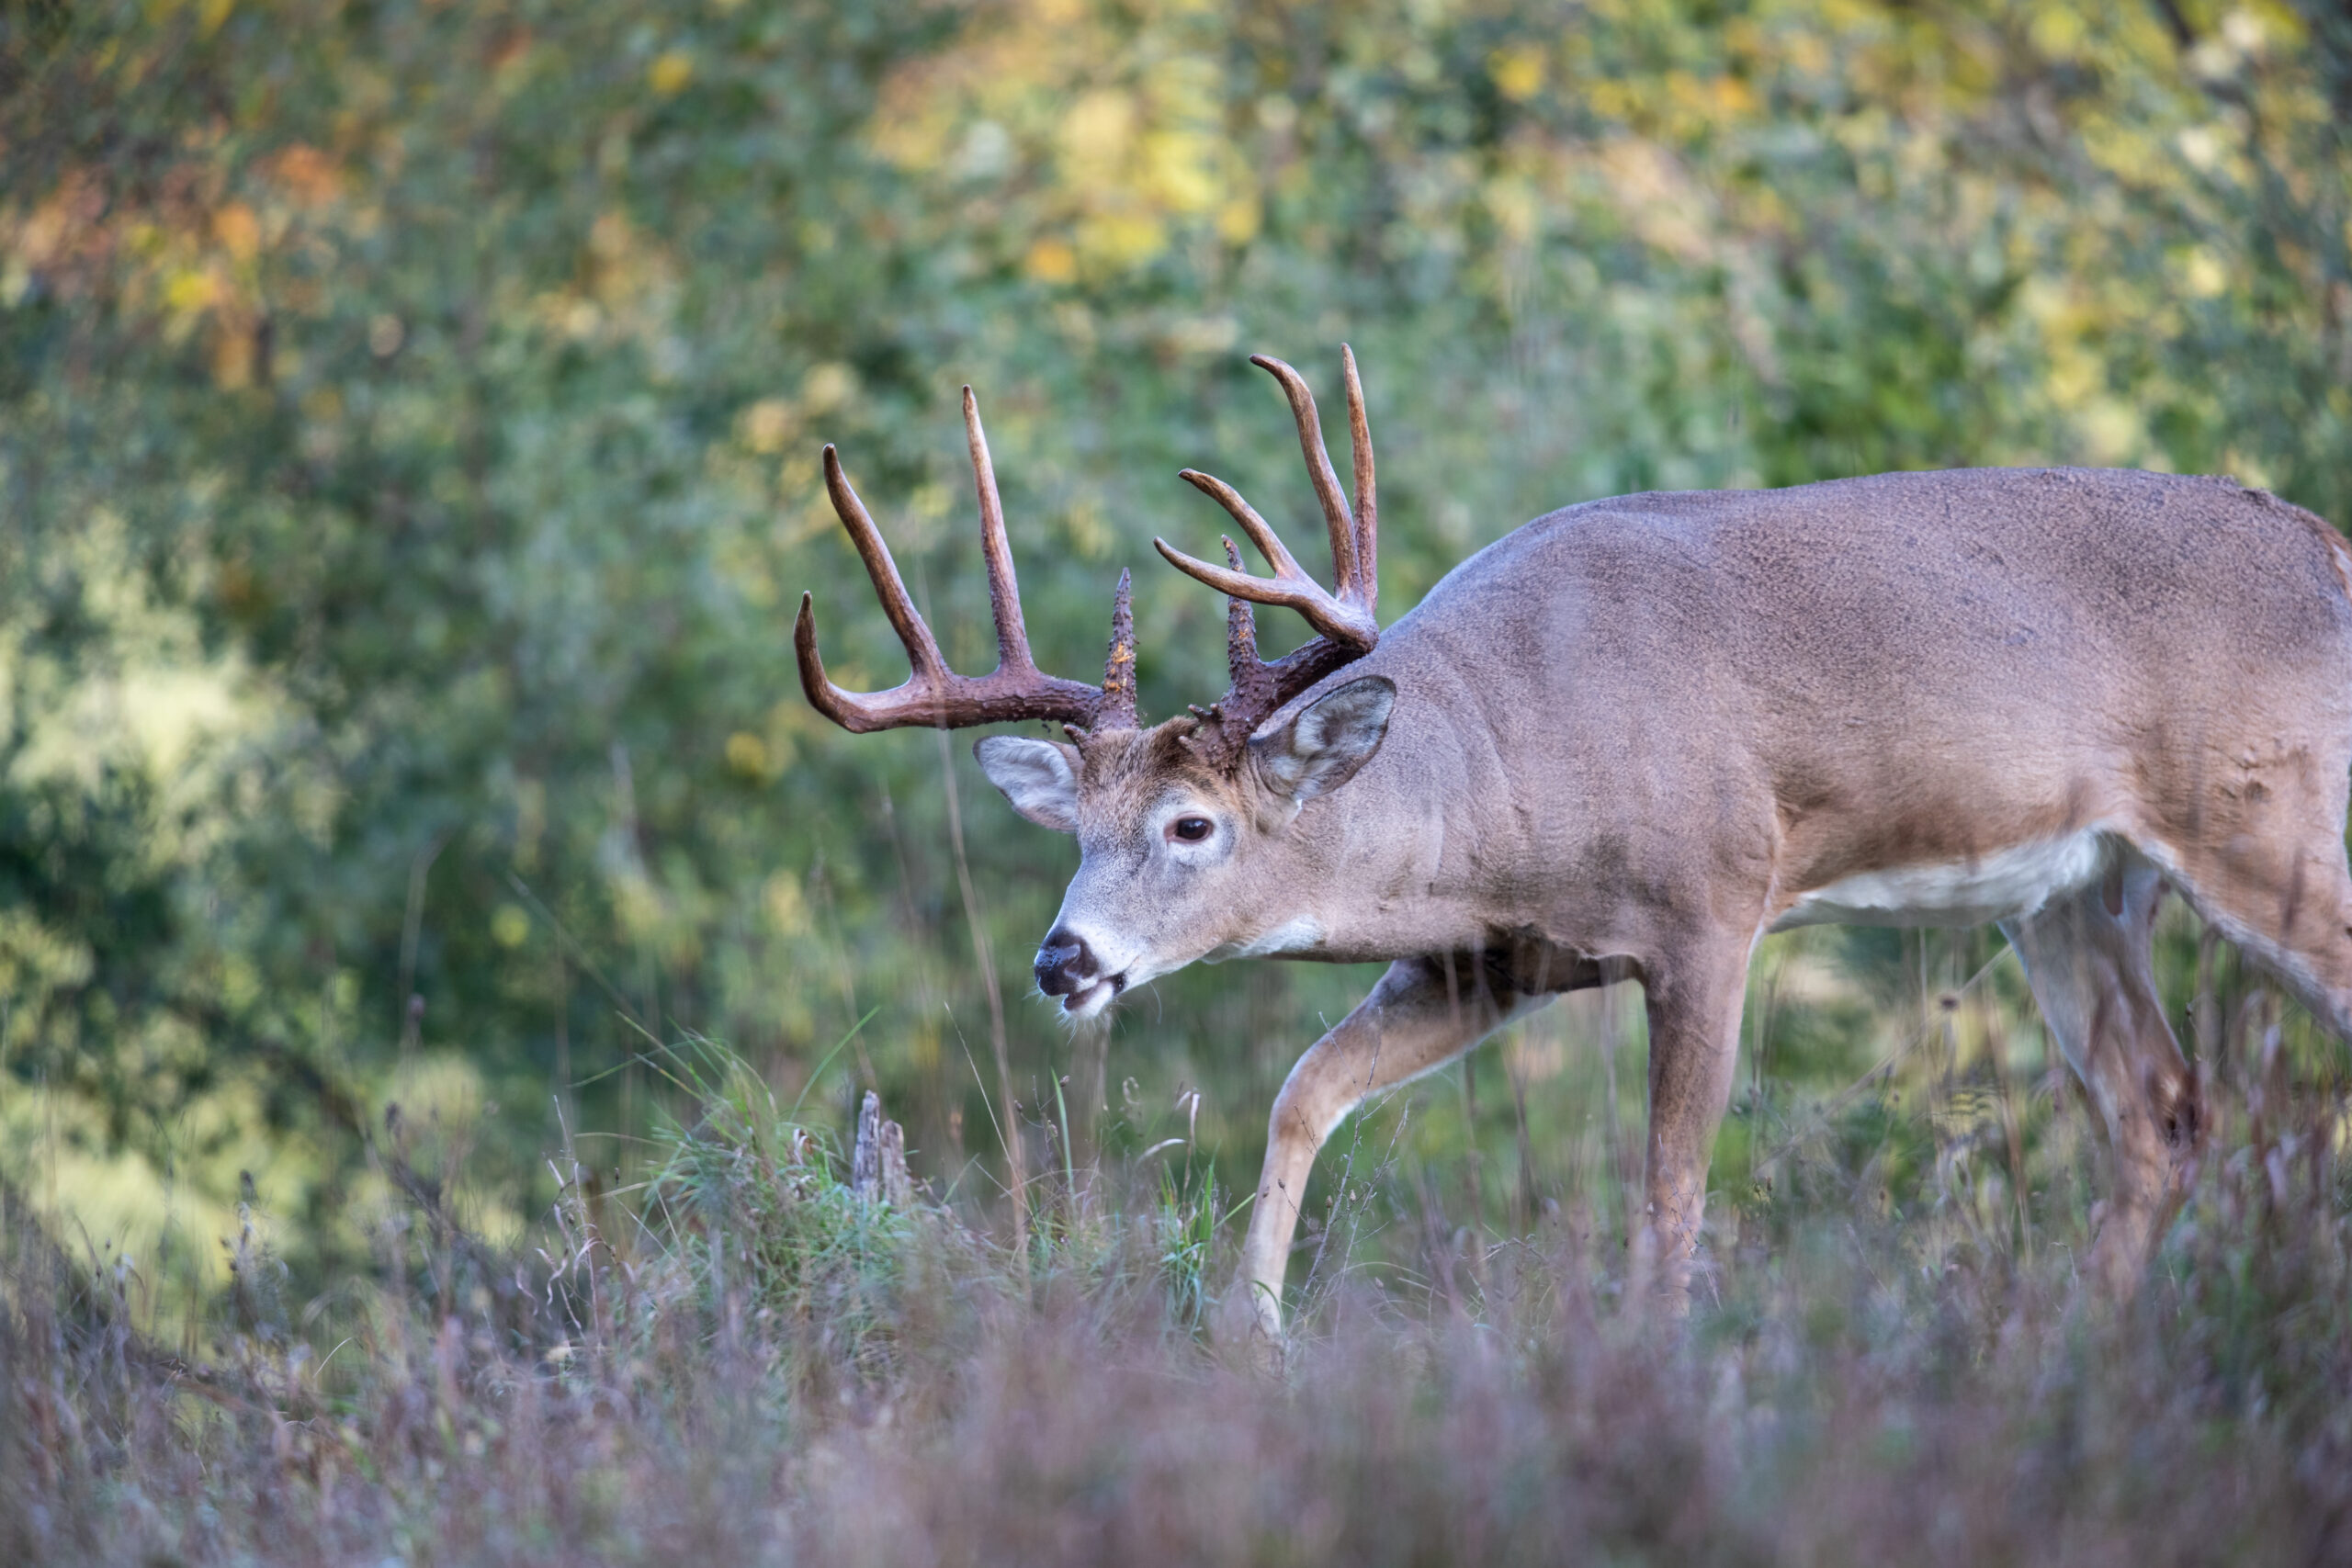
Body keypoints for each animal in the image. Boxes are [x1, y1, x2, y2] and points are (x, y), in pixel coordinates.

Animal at [795, 350, 2352, 1344]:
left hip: (2267, 816)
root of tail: (2326, 543)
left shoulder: (1717, 903)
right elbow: (1303, 1093)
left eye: (1193, 824)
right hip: (2075, 890)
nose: (1063, 960)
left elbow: (1669, 1190)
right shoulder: (1494, 960)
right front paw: (1254, 1339)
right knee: (2160, 1111)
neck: (1521, 768)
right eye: (1079, 826)